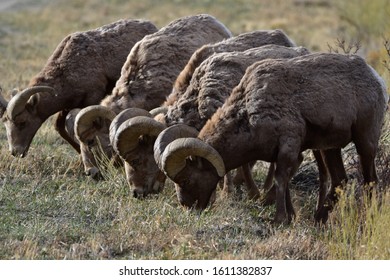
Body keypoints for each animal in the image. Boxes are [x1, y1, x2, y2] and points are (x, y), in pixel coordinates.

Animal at [0, 19, 158, 158]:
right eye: (5, 123)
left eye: (22, 122)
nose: (15, 152)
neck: (67, 70)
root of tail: (151, 26)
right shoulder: (68, 106)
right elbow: (60, 127)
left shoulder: (92, 98)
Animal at [157, 52, 388, 223]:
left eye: (186, 179)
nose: (188, 207)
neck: (249, 113)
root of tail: (376, 78)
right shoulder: (284, 154)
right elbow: (283, 181)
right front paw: (290, 216)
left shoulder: (288, 147)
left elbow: (280, 179)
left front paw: (280, 219)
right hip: (329, 149)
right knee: (340, 181)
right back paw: (318, 219)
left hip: (365, 142)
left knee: (370, 181)